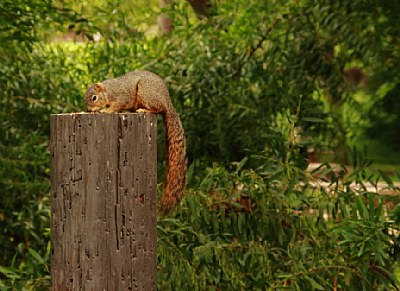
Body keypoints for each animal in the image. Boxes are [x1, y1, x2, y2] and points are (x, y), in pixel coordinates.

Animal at [84, 70, 188, 214]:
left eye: (94, 97)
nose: (88, 110)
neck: (109, 90)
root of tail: (168, 103)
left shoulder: (122, 96)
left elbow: (116, 105)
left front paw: (105, 110)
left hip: (146, 92)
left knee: (158, 109)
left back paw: (144, 110)